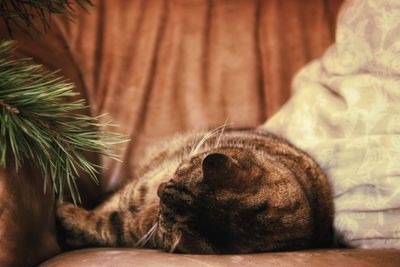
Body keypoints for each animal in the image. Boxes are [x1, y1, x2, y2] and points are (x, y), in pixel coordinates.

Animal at [55, 129, 332, 255]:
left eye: (163, 215)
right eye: (179, 170)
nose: (159, 188)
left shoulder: (131, 229)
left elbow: (102, 224)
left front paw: (65, 212)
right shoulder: (136, 189)